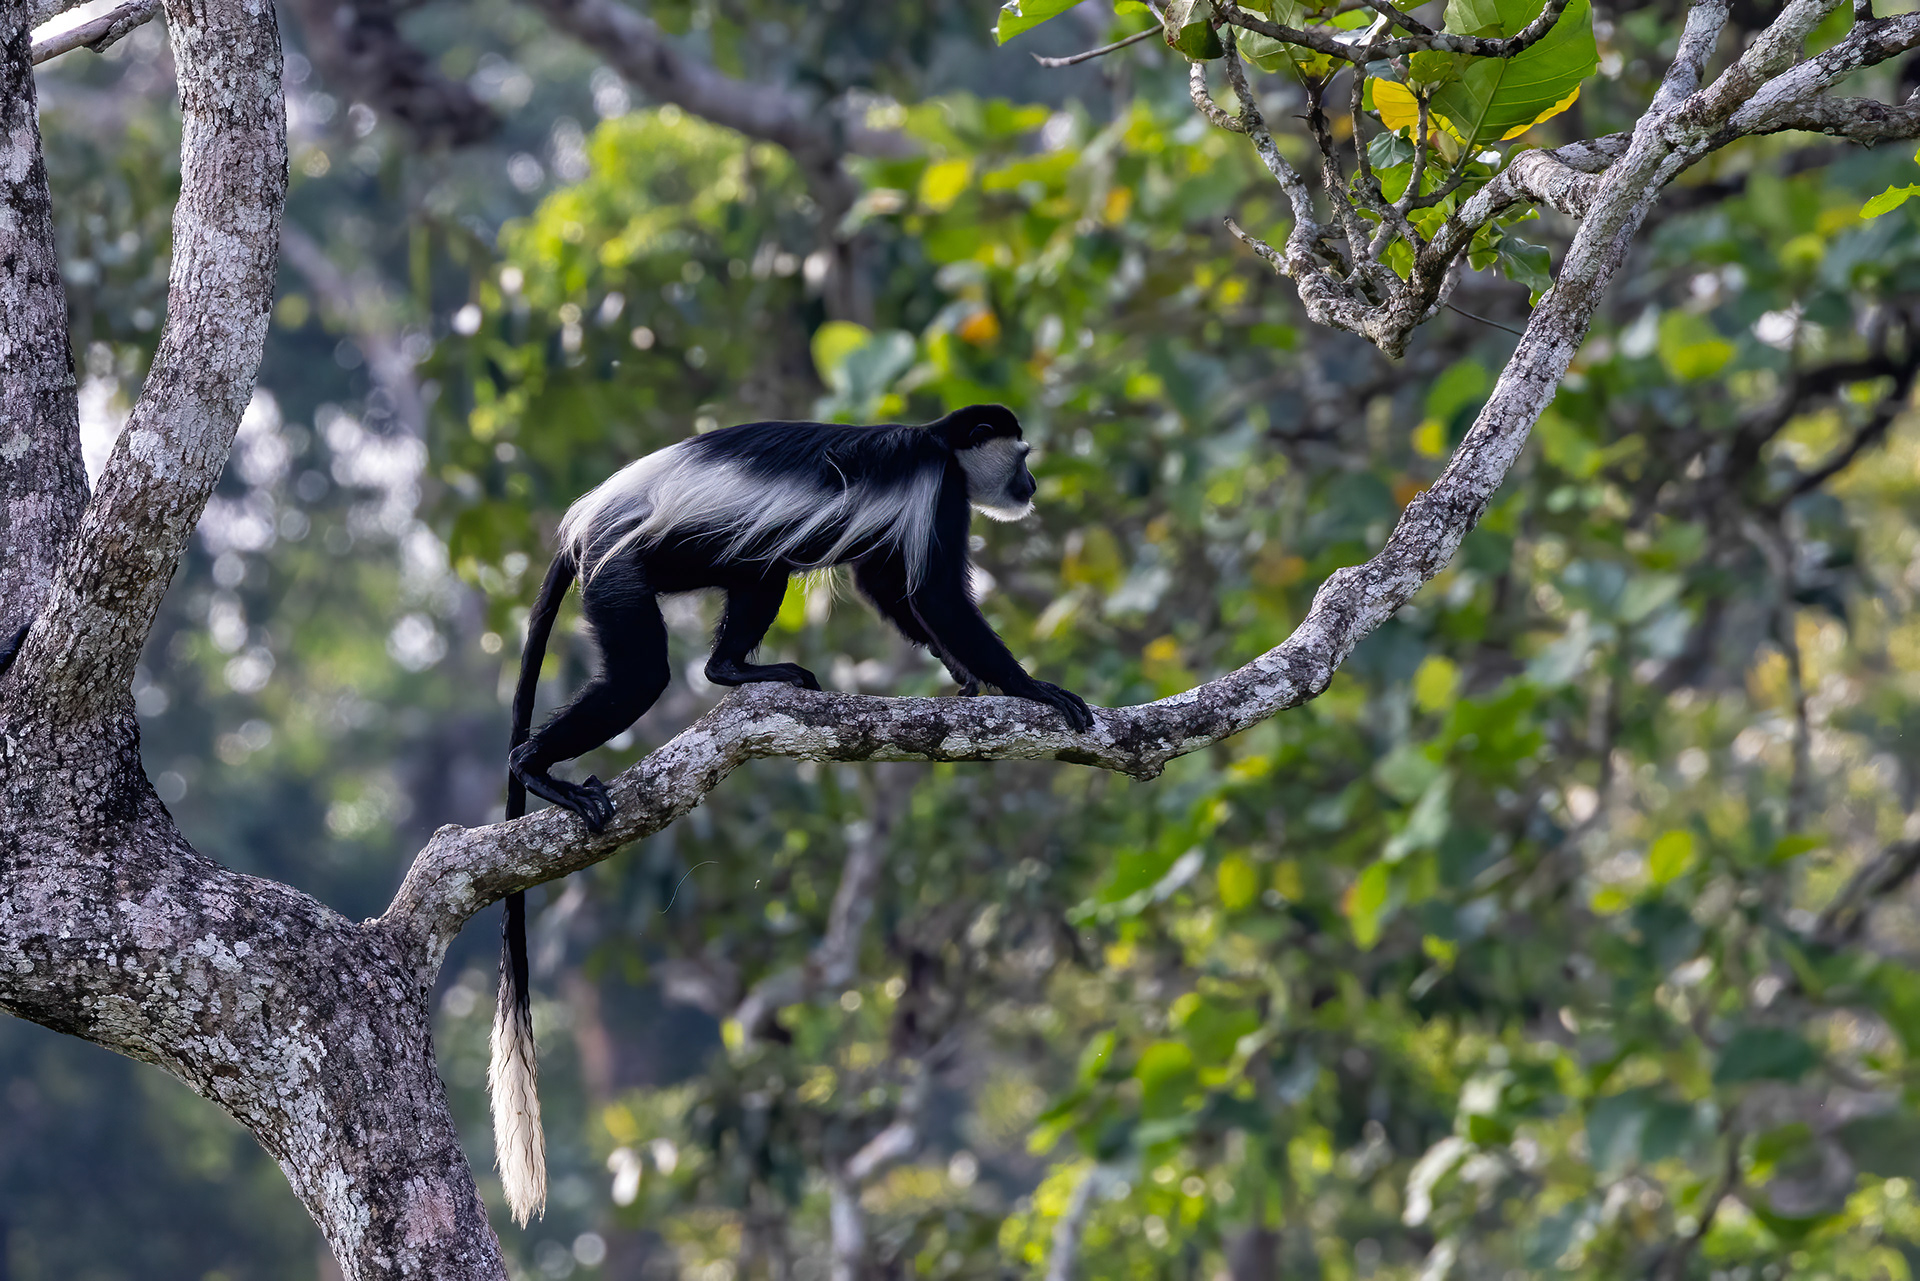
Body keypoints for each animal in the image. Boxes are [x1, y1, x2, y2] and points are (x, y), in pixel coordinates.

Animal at [489, 404, 1091, 1224]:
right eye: (1022, 455)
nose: (1030, 485)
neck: (937, 442)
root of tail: (585, 521)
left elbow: (890, 591)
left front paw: (966, 676)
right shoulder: (937, 496)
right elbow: (932, 597)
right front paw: (1030, 687)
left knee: (759, 567)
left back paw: (735, 671)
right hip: (625, 566)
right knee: (644, 668)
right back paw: (538, 770)